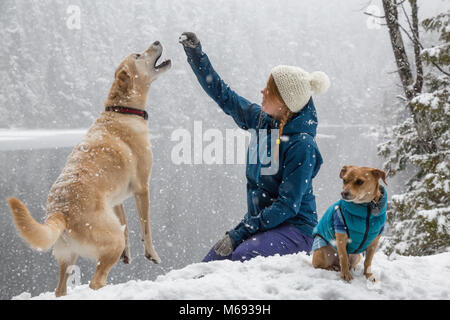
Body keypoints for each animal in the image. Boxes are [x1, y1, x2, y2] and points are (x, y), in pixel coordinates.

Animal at [6, 40, 171, 298]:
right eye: (138, 55)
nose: (156, 41)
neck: (122, 109)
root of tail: (60, 211)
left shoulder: (115, 201)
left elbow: (126, 225)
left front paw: (128, 255)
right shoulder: (142, 188)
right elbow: (146, 227)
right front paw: (151, 254)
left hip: (68, 256)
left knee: (61, 289)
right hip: (109, 240)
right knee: (96, 280)